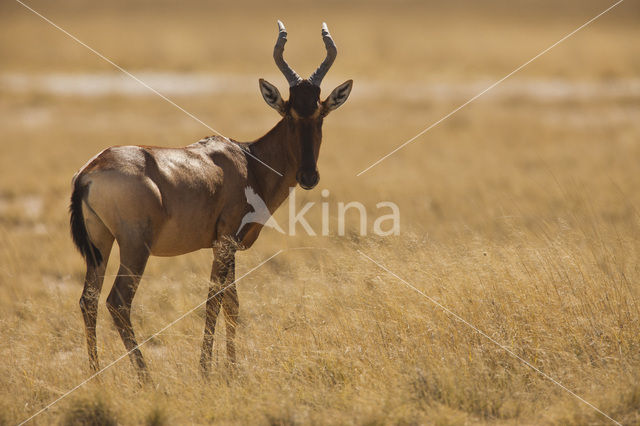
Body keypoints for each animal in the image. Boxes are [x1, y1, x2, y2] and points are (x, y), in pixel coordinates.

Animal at [70, 21, 352, 382]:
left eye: (320, 113)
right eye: (289, 113)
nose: (308, 176)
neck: (247, 160)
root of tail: (89, 172)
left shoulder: (225, 246)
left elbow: (232, 303)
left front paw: (231, 368)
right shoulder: (225, 242)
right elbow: (214, 299)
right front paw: (207, 370)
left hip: (100, 244)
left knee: (88, 300)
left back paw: (96, 376)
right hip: (134, 247)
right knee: (118, 302)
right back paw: (147, 379)